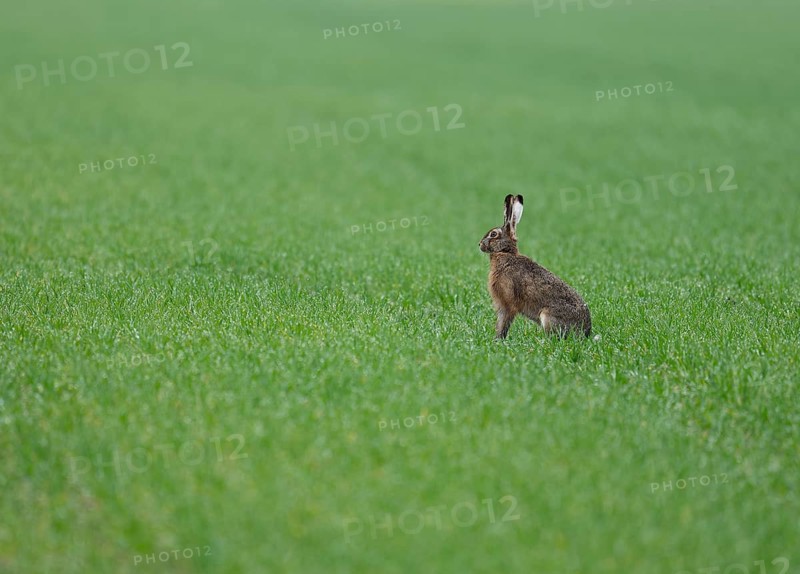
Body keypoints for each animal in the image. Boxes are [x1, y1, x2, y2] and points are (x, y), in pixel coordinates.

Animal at [479, 194, 591, 339]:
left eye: (493, 234)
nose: (480, 244)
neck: (505, 252)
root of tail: (586, 332)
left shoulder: (507, 303)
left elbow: (504, 322)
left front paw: (498, 339)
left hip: (547, 317)